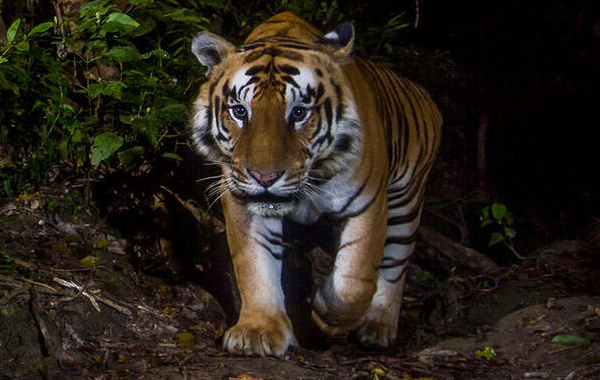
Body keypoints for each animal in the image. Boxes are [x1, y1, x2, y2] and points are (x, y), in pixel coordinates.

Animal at [190, 11, 442, 356]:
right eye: (240, 111)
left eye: (298, 113)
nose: (264, 177)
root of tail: (424, 95)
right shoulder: (244, 200)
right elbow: (255, 264)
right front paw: (258, 331)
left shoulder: (369, 205)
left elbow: (354, 281)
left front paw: (325, 310)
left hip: (405, 205)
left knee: (394, 266)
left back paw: (377, 328)